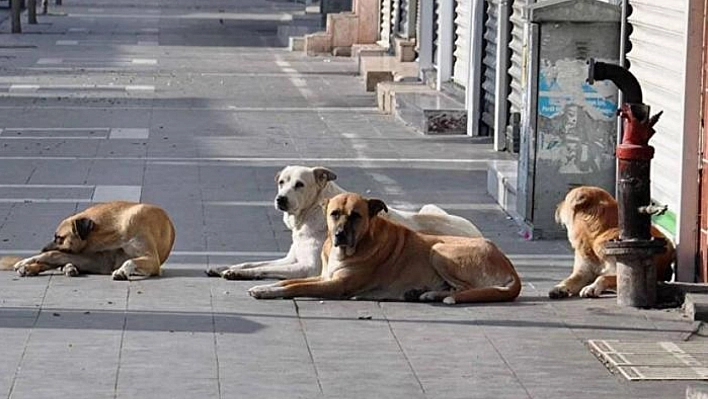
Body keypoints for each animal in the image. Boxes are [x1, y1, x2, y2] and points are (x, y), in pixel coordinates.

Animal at [0, 202, 176, 280]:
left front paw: (122, 271)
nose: (41, 248)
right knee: (55, 258)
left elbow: (130, 261)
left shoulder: (152, 260)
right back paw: (29, 266)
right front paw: (26, 261)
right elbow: (51, 255)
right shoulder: (98, 259)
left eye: (59, 238)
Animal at [205, 166, 482, 282]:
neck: (309, 216)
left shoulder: (307, 267)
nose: (280, 199)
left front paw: (237, 274)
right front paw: (225, 267)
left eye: (300, 184)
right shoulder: (290, 258)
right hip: (429, 207)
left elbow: (262, 269)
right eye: (282, 182)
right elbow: (253, 262)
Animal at [249, 193, 520, 304]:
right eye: (334, 213)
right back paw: (424, 293)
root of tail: (510, 267)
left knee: (467, 289)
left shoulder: (335, 285)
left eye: (356, 216)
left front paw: (267, 291)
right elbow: (288, 282)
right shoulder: (324, 276)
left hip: (439, 251)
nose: (339, 235)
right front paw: (266, 287)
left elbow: (294, 287)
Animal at [548, 186, 676, 298]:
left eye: (565, 200)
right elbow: (569, 279)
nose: (557, 206)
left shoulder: (621, 272)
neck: (597, 235)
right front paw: (559, 287)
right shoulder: (582, 273)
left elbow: (603, 277)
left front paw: (592, 287)